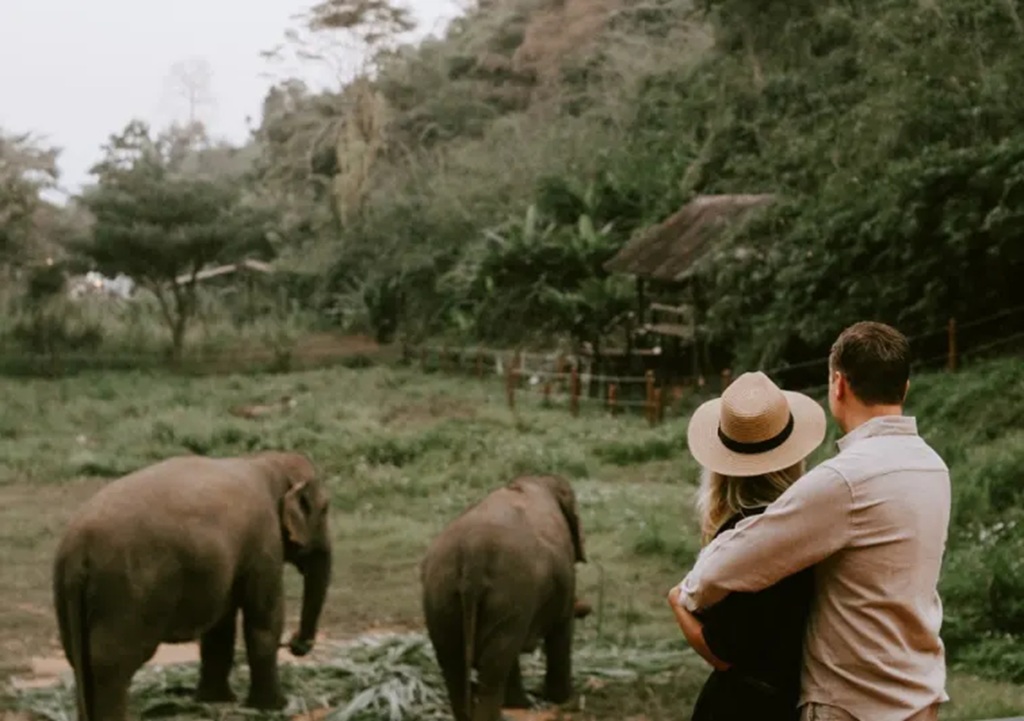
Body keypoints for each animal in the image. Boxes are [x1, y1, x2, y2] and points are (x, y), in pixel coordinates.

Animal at [51, 450, 331, 721]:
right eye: (326, 509)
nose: (296, 644)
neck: (266, 461)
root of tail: (79, 549)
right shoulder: (264, 542)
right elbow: (263, 622)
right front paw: (275, 707)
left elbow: (221, 627)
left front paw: (216, 701)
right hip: (124, 592)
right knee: (113, 662)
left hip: (67, 589)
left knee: (79, 658)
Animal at [419, 473, 589, 721]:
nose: (586, 607)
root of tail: (473, 552)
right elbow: (561, 631)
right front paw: (565, 700)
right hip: (509, 590)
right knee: (496, 662)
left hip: (440, 594)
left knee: (454, 662)